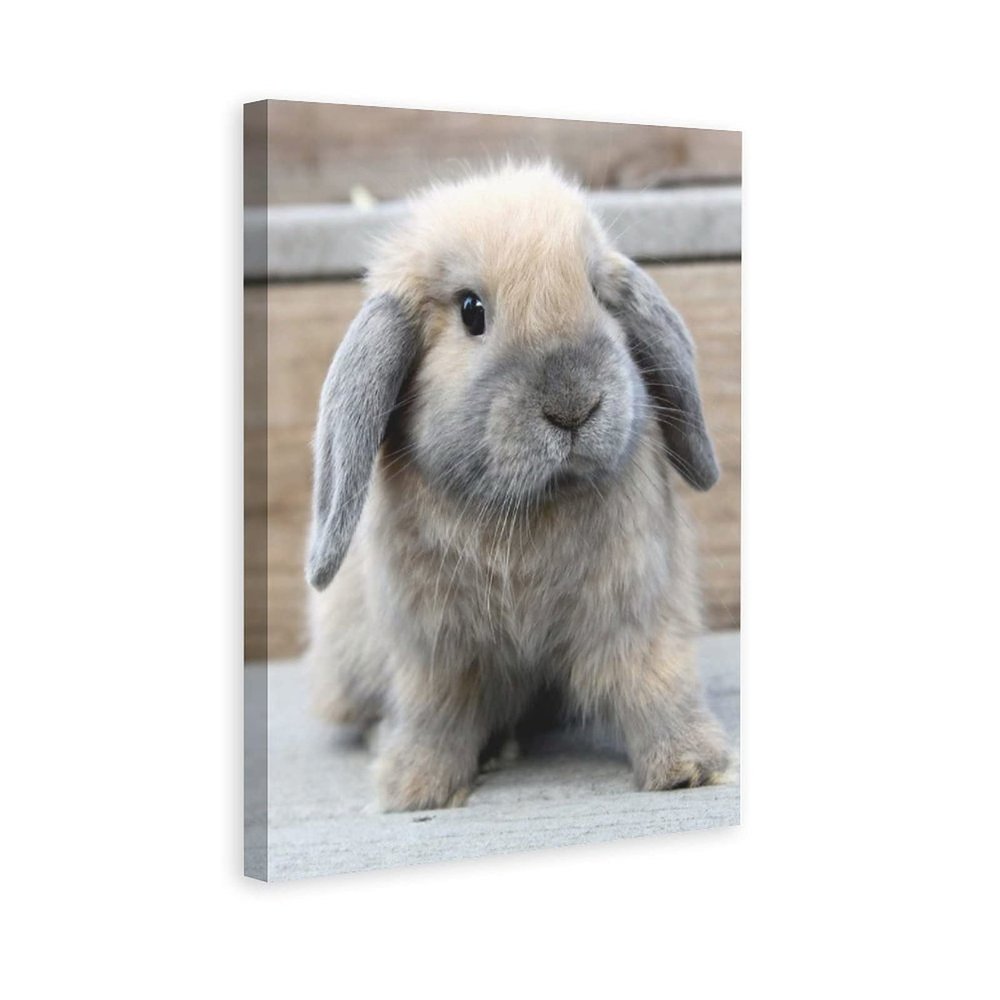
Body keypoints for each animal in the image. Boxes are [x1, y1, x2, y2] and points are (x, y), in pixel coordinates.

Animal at [305, 163, 730, 811]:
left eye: (596, 293)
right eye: (471, 310)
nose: (573, 406)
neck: (533, 506)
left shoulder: (636, 609)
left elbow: (654, 682)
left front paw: (691, 766)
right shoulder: (433, 646)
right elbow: (436, 711)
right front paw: (417, 789)